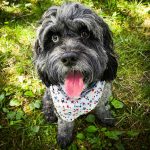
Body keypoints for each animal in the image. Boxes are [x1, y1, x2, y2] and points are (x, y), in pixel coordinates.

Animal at [34, 2, 117, 148]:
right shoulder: (63, 110)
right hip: (50, 93)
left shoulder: (104, 94)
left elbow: (102, 107)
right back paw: (49, 112)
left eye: (85, 33)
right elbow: (64, 123)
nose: (68, 58)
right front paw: (64, 136)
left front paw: (106, 117)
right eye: (54, 38)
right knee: (46, 99)